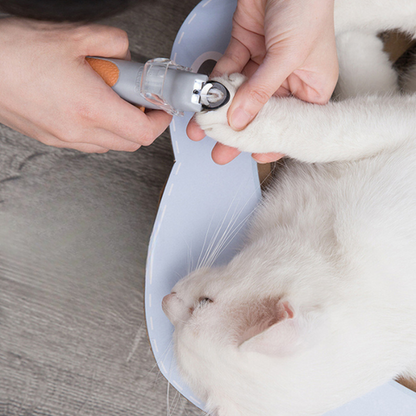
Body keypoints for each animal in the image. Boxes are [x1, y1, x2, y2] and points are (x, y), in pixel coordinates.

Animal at [161, 1, 416, 414]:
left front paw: (246, 122)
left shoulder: (398, 121)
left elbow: (335, 130)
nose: (165, 298)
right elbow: (362, 83)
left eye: (203, 303)